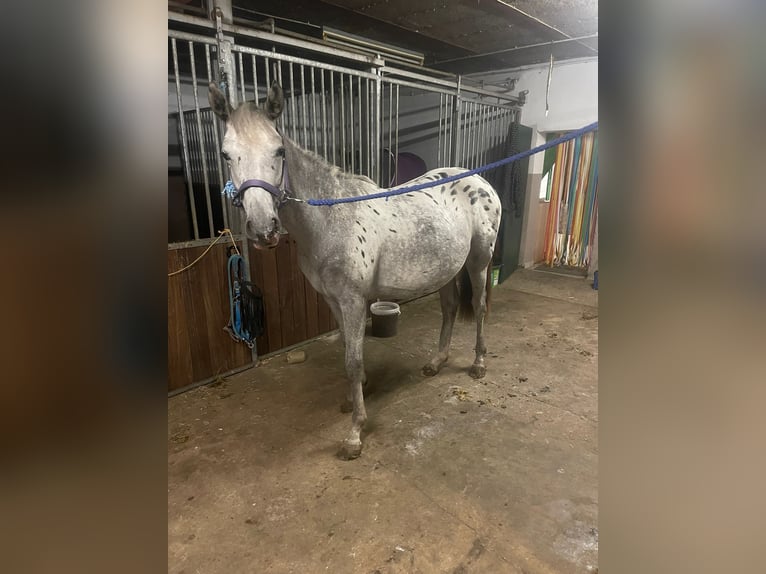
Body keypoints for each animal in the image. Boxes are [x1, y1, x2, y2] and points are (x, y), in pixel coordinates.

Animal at [208, 81, 504, 462]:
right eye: (226, 154)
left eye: (279, 150)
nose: (263, 229)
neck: (332, 219)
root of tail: (480, 182)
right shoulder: (333, 300)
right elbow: (348, 352)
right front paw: (352, 400)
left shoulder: (352, 301)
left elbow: (353, 360)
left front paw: (354, 434)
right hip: (447, 269)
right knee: (450, 308)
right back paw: (436, 362)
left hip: (479, 261)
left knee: (480, 308)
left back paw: (479, 363)